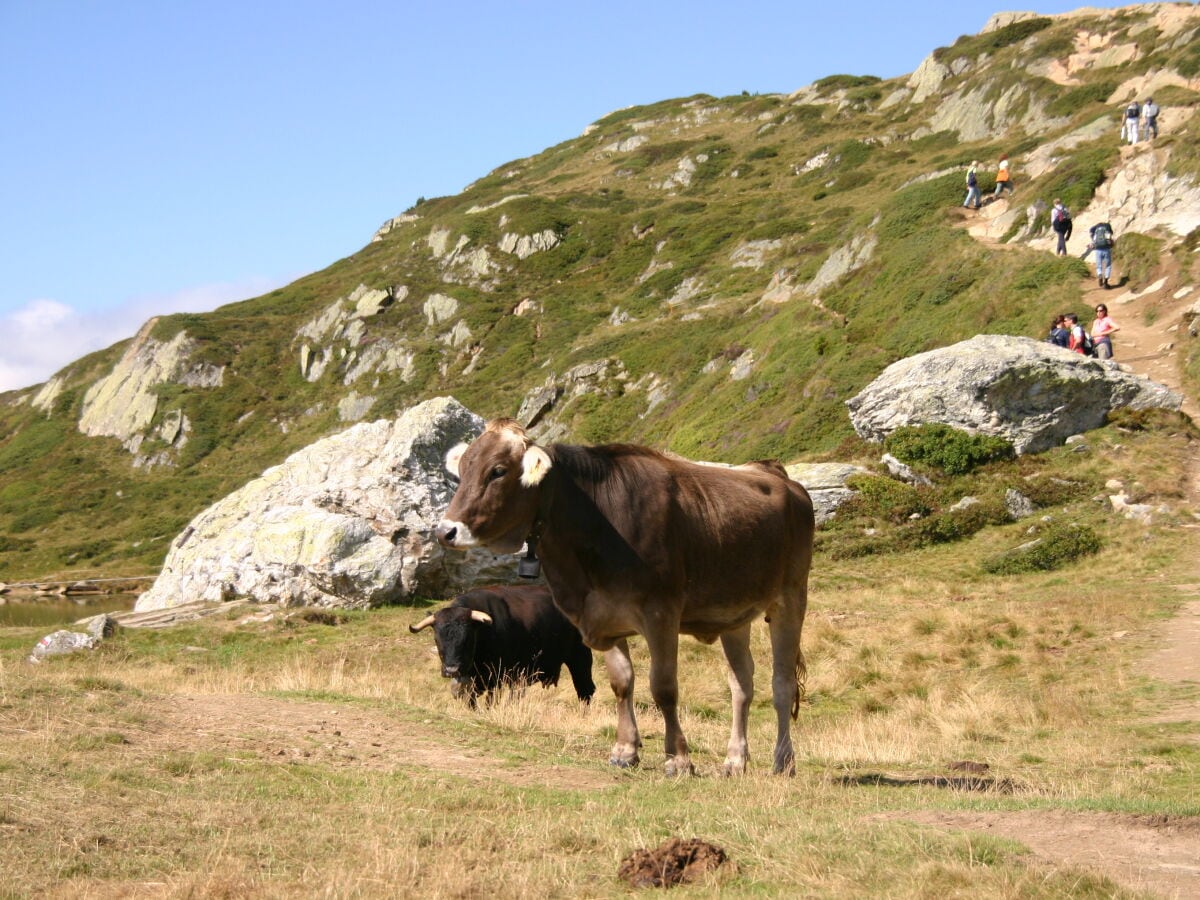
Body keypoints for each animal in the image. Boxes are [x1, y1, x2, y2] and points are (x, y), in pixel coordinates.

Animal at [408, 585, 595, 710]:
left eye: (468, 638)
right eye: (437, 638)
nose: (451, 670)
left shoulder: (496, 677)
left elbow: (491, 700)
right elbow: (467, 696)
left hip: (580, 657)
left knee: (585, 689)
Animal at [434, 420, 816, 777]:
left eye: (497, 471)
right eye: (463, 469)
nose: (445, 531)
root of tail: (774, 472)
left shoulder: (661, 613)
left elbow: (663, 688)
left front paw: (678, 759)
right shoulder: (606, 617)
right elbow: (621, 684)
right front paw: (625, 750)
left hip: (791, 597)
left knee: (781, 684)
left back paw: (783, 761)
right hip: (734, 613)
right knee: (742, 684)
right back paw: (735, 760)